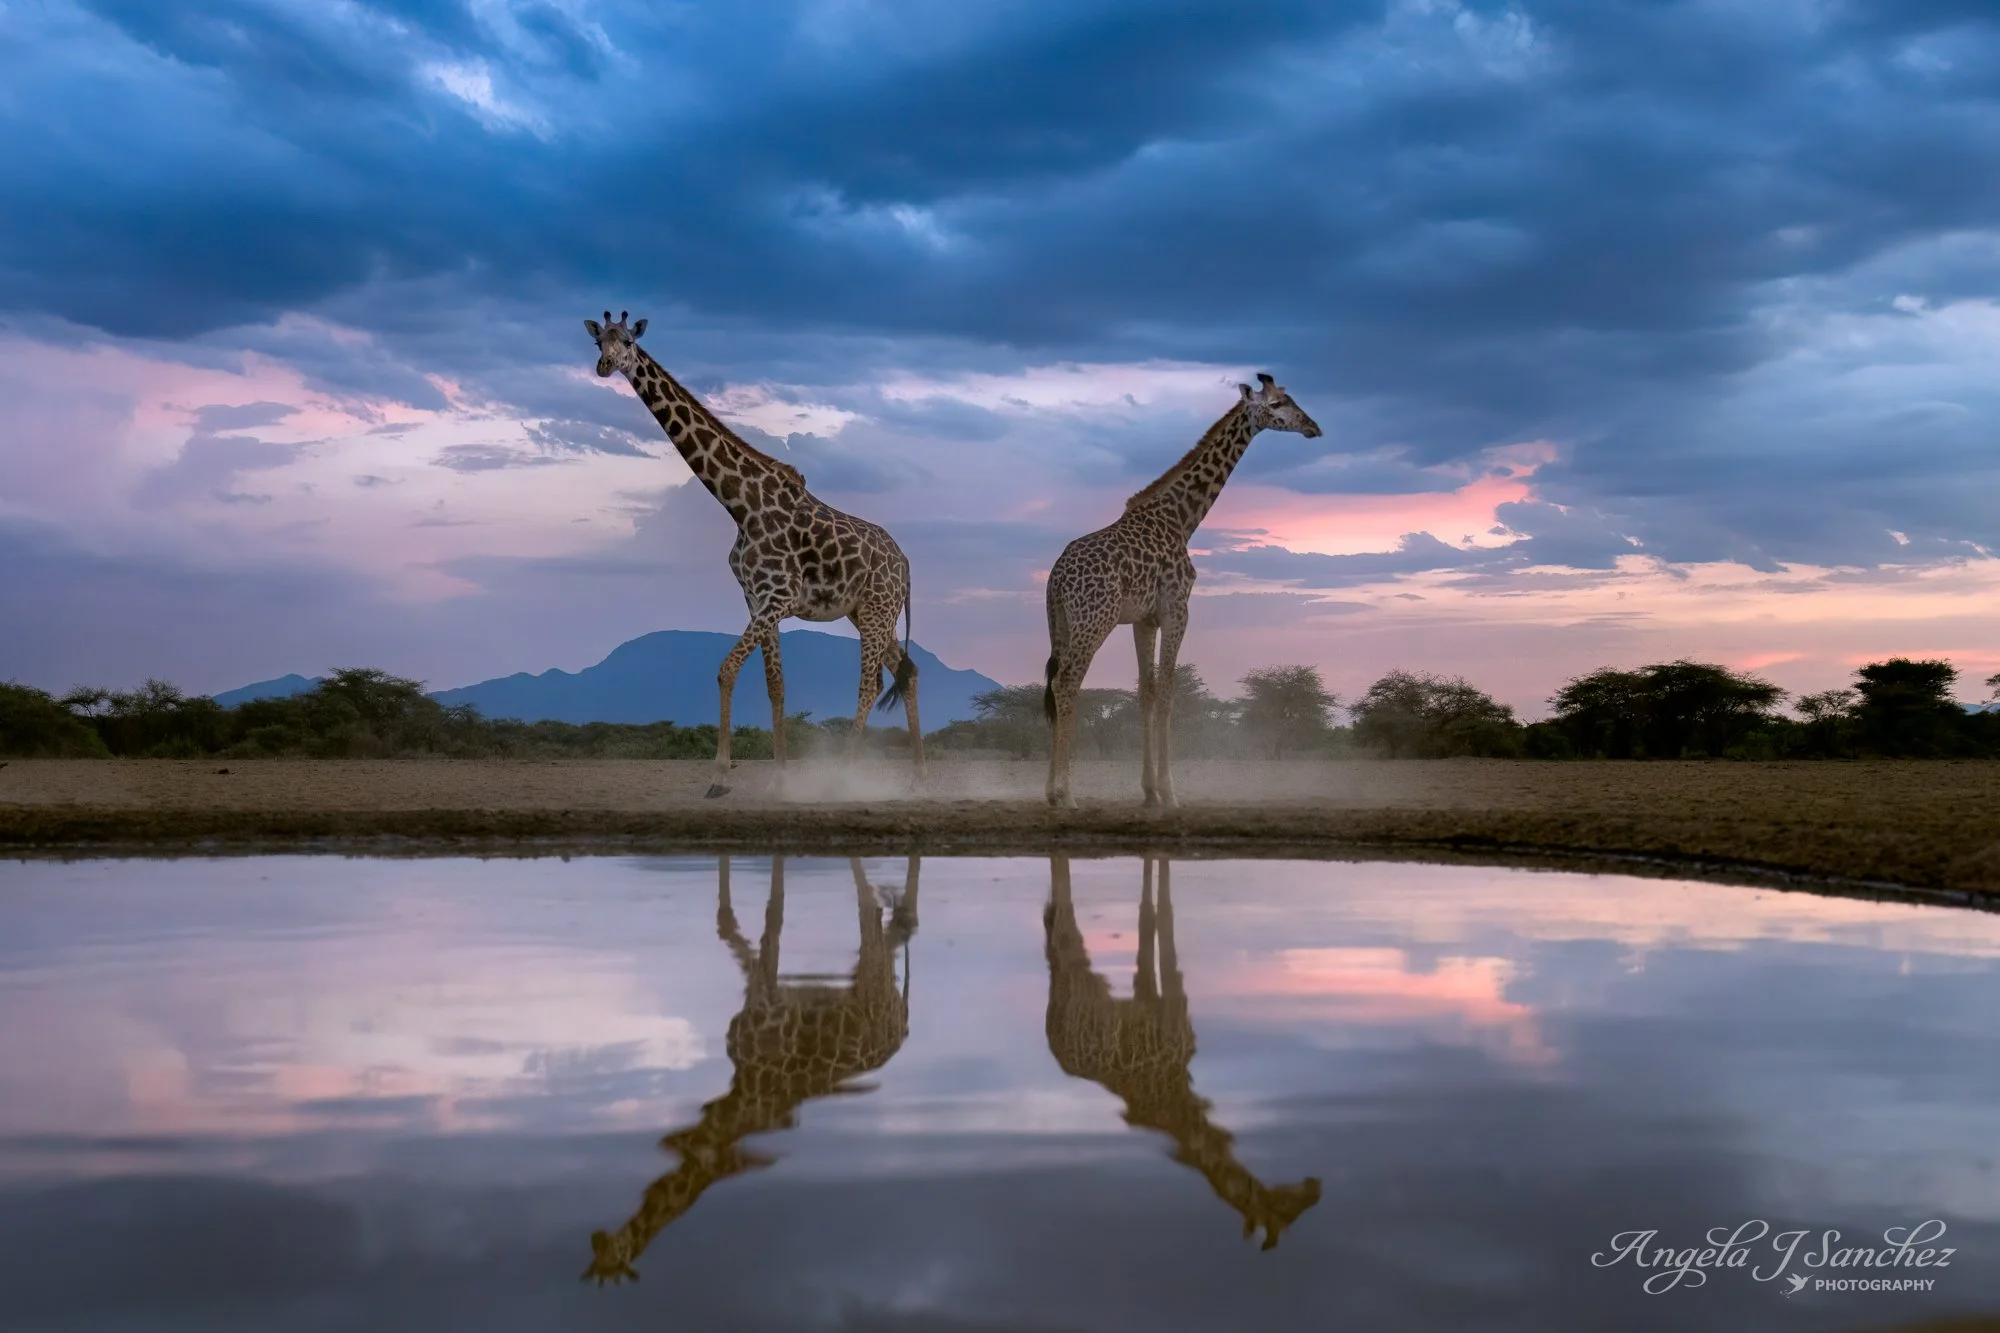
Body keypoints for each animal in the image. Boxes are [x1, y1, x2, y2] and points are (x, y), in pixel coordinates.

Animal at [582, 853, 920, 1285]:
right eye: (597, 1259)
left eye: (615, 1257)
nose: (598, 1237)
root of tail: (901, 1026)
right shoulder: (756, 995)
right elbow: (730, 921)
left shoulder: (766, 998)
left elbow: (773, 913)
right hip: (874, 980)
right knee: (896, 927)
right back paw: (897, 902)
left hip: (870, 981)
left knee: (870, 912)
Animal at [585, 312, 924, 798]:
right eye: (599, 342)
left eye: (628, 341)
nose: (606, 366)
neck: (740, 505)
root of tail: (906, 564)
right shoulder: (756, 598)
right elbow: (775, 685)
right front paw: (778, 779)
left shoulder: (777, 597)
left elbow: (727, 670)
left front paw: (719, 777)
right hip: (867, 612)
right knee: (906, 673)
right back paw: (918, 777)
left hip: (878, 610)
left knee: (870, 683)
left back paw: (843, 777)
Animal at [1041, 374, 1322, 809]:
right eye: (1277, 403)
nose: (1313, 427)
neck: (1182, 519)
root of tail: (1056, 577)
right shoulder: (1177, 609)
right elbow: (1170, 693)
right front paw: (1170, 792)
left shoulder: (1143, 620)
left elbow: (1147, 693)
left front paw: (1149, 791)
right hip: (1094, 620)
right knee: (1068, 682)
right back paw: (1064, 794)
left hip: (1062, 623)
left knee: (1056, 684)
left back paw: (1051, 791)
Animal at [1042, 854, 1322, 1250]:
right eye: (1285, 1213)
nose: (1315, 1188)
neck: (1183, 1106)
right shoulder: (1170, 1011)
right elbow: (1162, 917)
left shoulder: (1152, 998)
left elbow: (1150, 913)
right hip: (1075, 965)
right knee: (1064, 908)